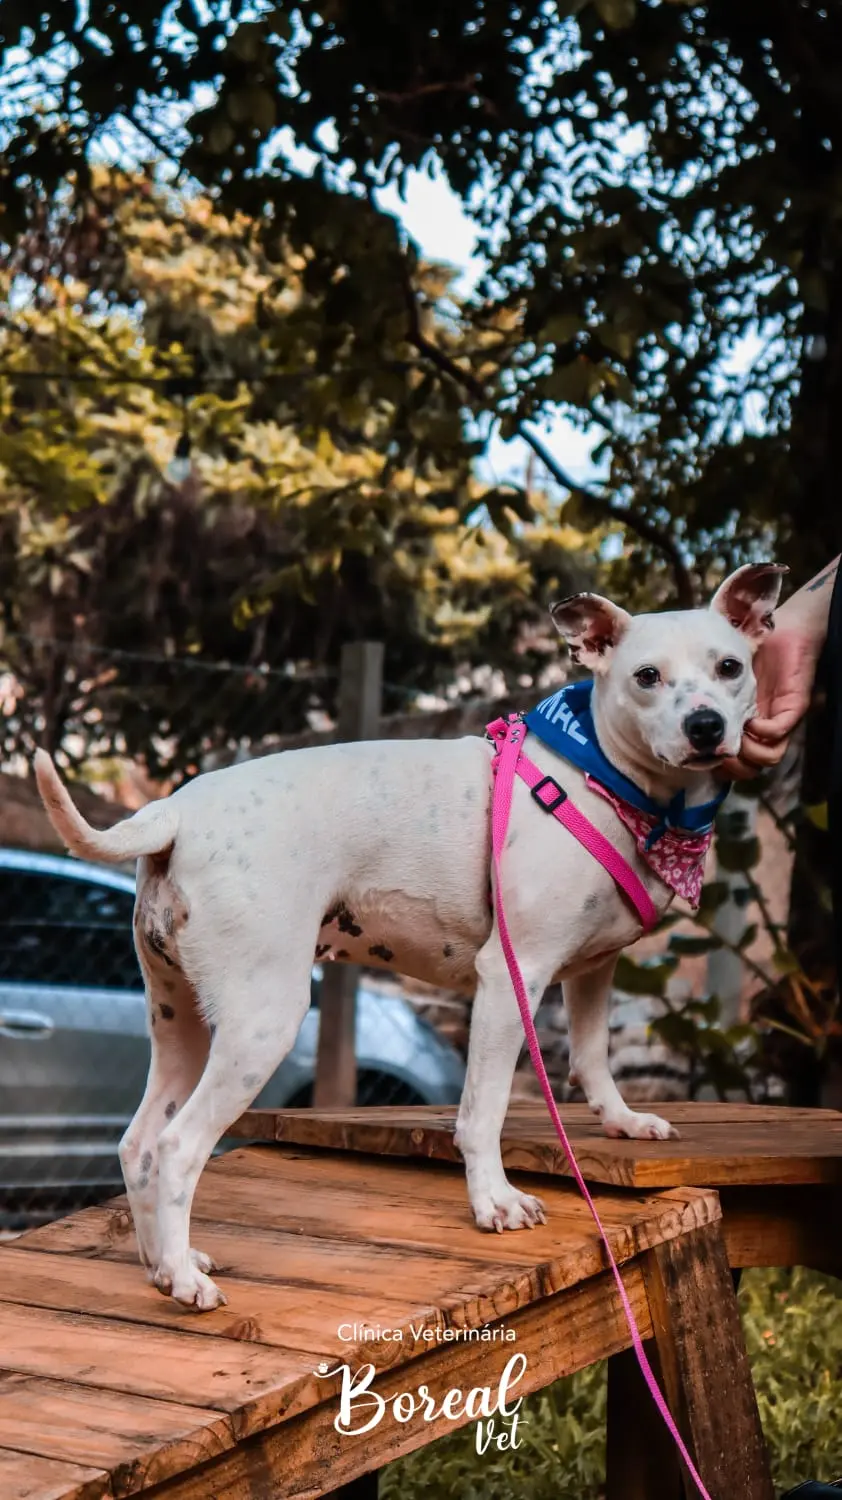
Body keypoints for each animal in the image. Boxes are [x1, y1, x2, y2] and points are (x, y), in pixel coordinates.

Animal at [32, 567, 780, 1308]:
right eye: (647, 676)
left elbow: (594, 1057)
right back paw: (186, 1281)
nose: (706, 725)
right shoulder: (512, 977)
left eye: (730, 666)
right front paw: (494, 1201)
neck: (605, 778)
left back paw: (165, 1264)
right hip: (261, 1023)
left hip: (180, 1021)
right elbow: (483, 1109)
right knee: (179, 1146)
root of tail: (176, 810)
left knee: (139, 1143)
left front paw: (623, 1122)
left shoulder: (594, 969)